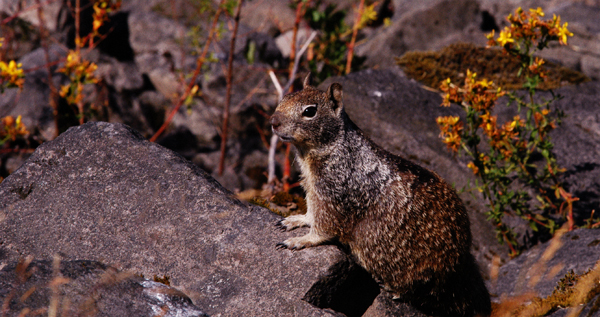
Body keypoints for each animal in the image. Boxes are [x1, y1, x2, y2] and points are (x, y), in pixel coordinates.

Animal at [272, 75, 492, 314]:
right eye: (286, 97)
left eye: (310, 111)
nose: (273, 121)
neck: (331, 148)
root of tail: (462, 261)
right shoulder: (313, 189)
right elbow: (311, 212)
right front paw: (296, 220)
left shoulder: (335, 192)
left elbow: (324, 227)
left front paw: (300, 240)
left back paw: (393, 290)